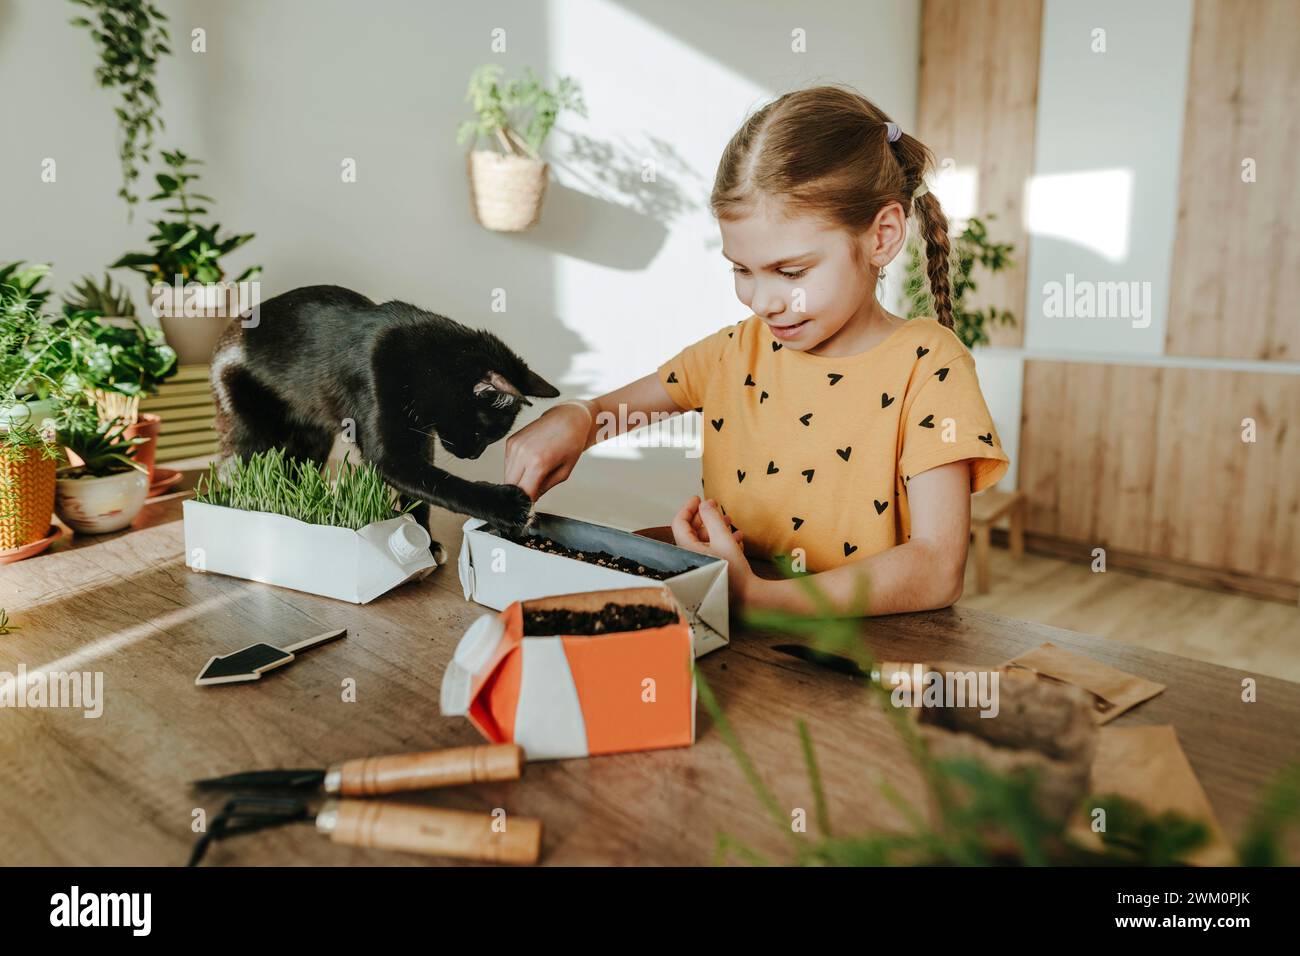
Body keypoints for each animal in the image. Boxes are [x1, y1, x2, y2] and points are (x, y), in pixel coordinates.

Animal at [210, 282, 556, 538]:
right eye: (482, 431)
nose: (473, 456)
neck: (423, 361)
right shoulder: (390, 449)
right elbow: (440, 482)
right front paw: (507, 506)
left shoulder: (421, 437)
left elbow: (423, 490)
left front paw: (426, 540)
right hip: (248, 430)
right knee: (240, 468)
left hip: (313, 440)